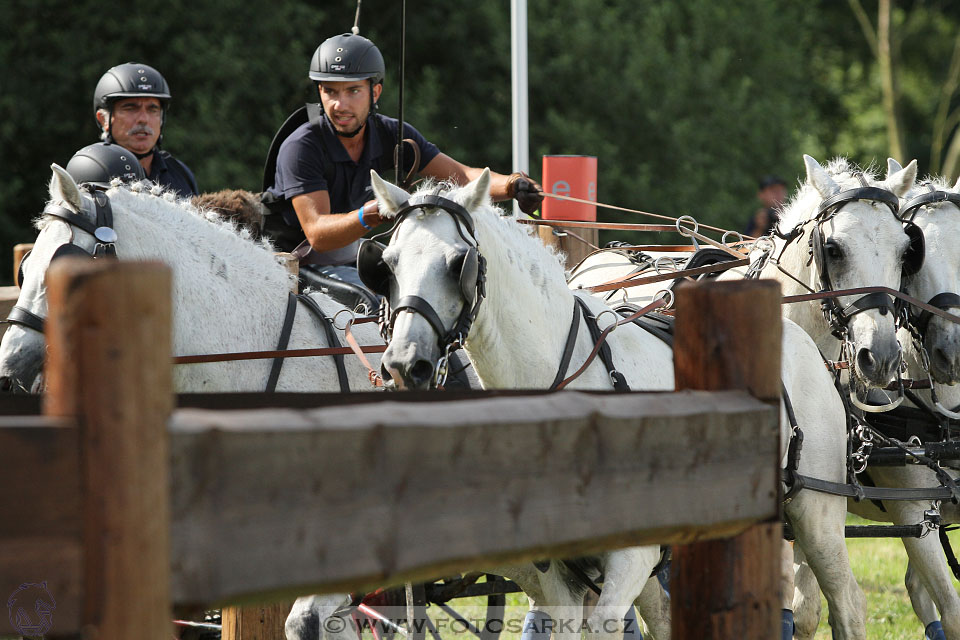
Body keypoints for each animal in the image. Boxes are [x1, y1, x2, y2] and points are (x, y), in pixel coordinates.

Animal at [368, 168, 872, 636]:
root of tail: (803, 342)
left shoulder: (632, 557)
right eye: (387, 264)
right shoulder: (557, 576)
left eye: (459, 263)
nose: (405, 362)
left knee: (846, 602)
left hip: (817, 513)